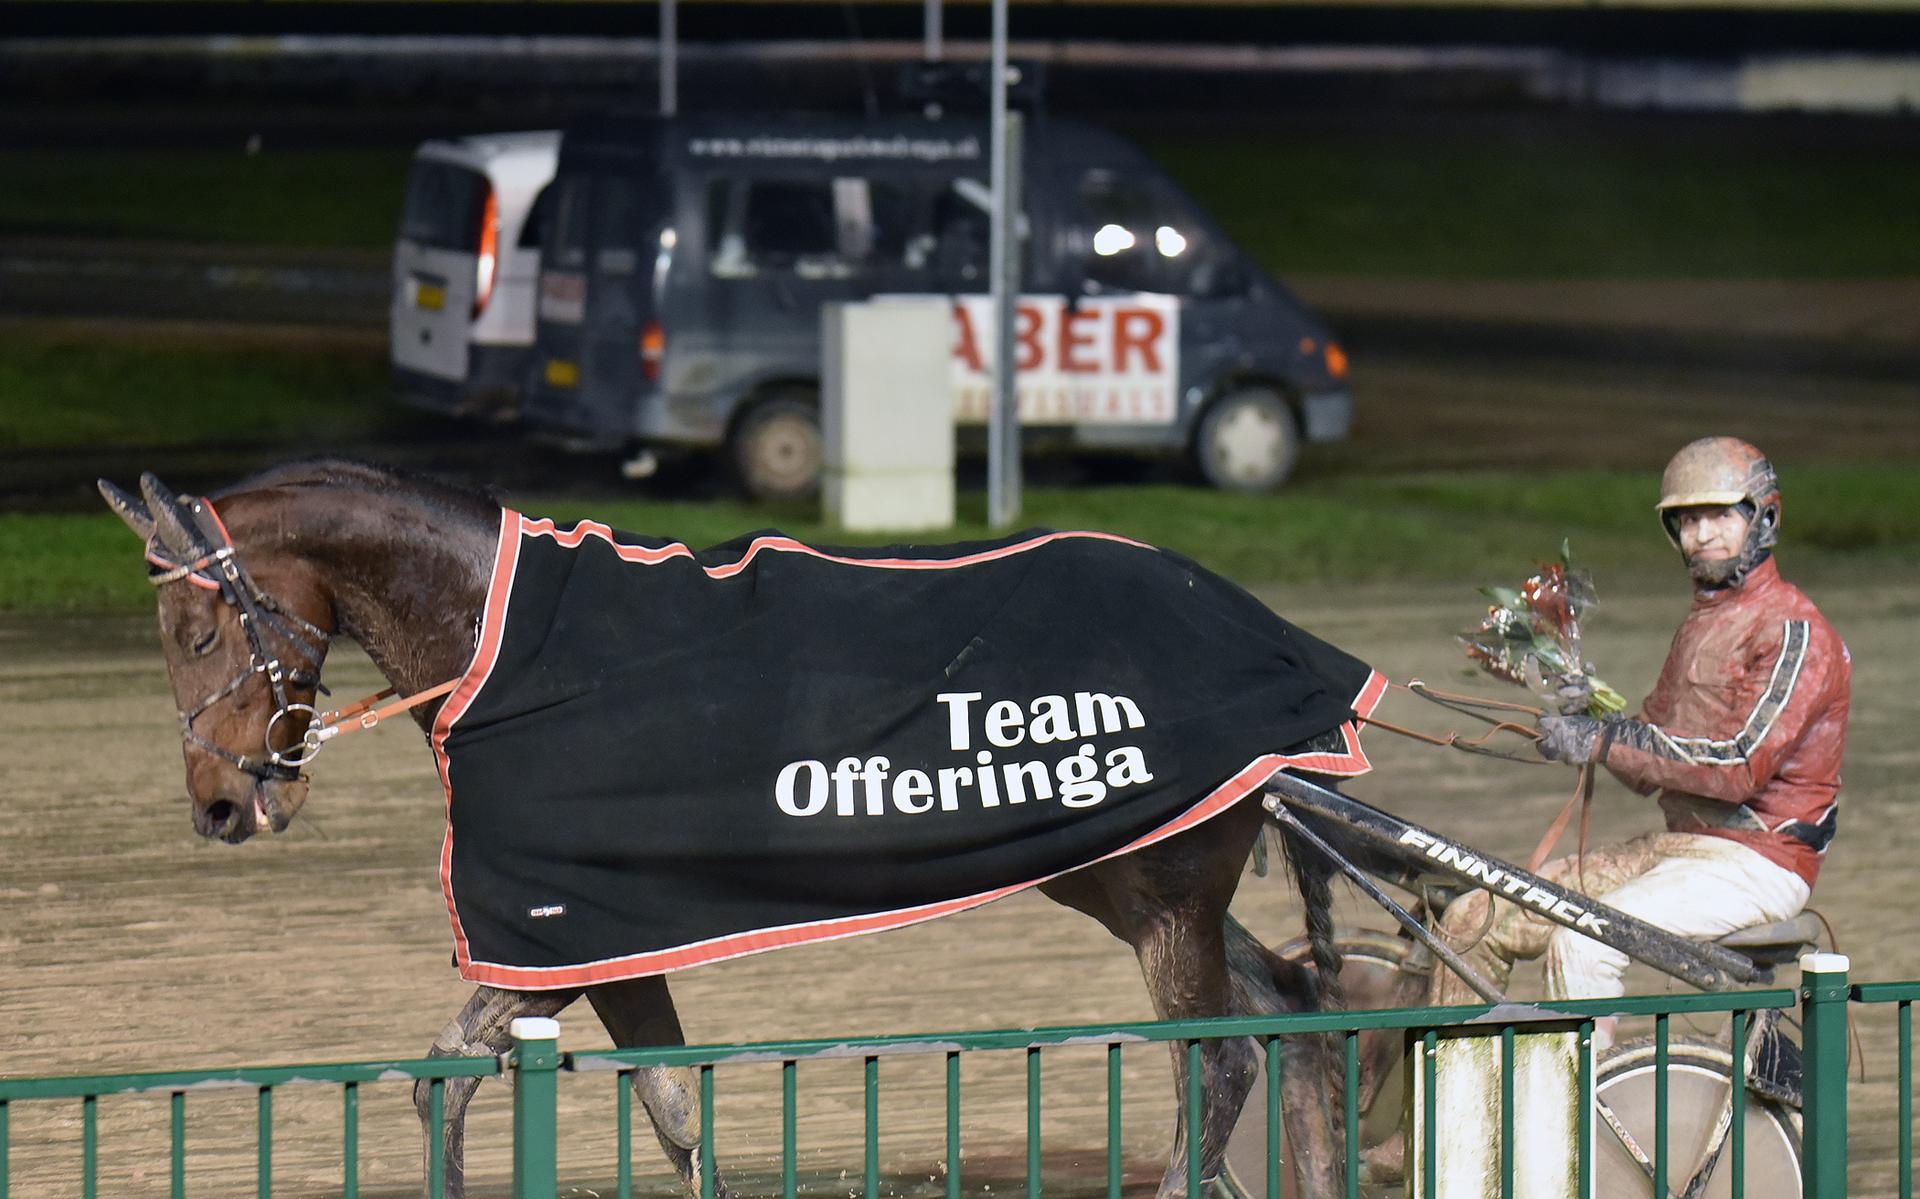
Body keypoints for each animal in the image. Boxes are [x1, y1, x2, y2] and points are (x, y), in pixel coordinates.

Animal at [101, 459, 1367, 1199]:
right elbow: (665, 1105)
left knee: (1222, 1061)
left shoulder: (552, 926)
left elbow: (445, 1079)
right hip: (1117, 870)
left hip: (1162, 885)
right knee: (1291, 1008)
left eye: (195, 630)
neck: (516, 644)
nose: (218, 802)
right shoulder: (611, 934)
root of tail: (1270, 638)